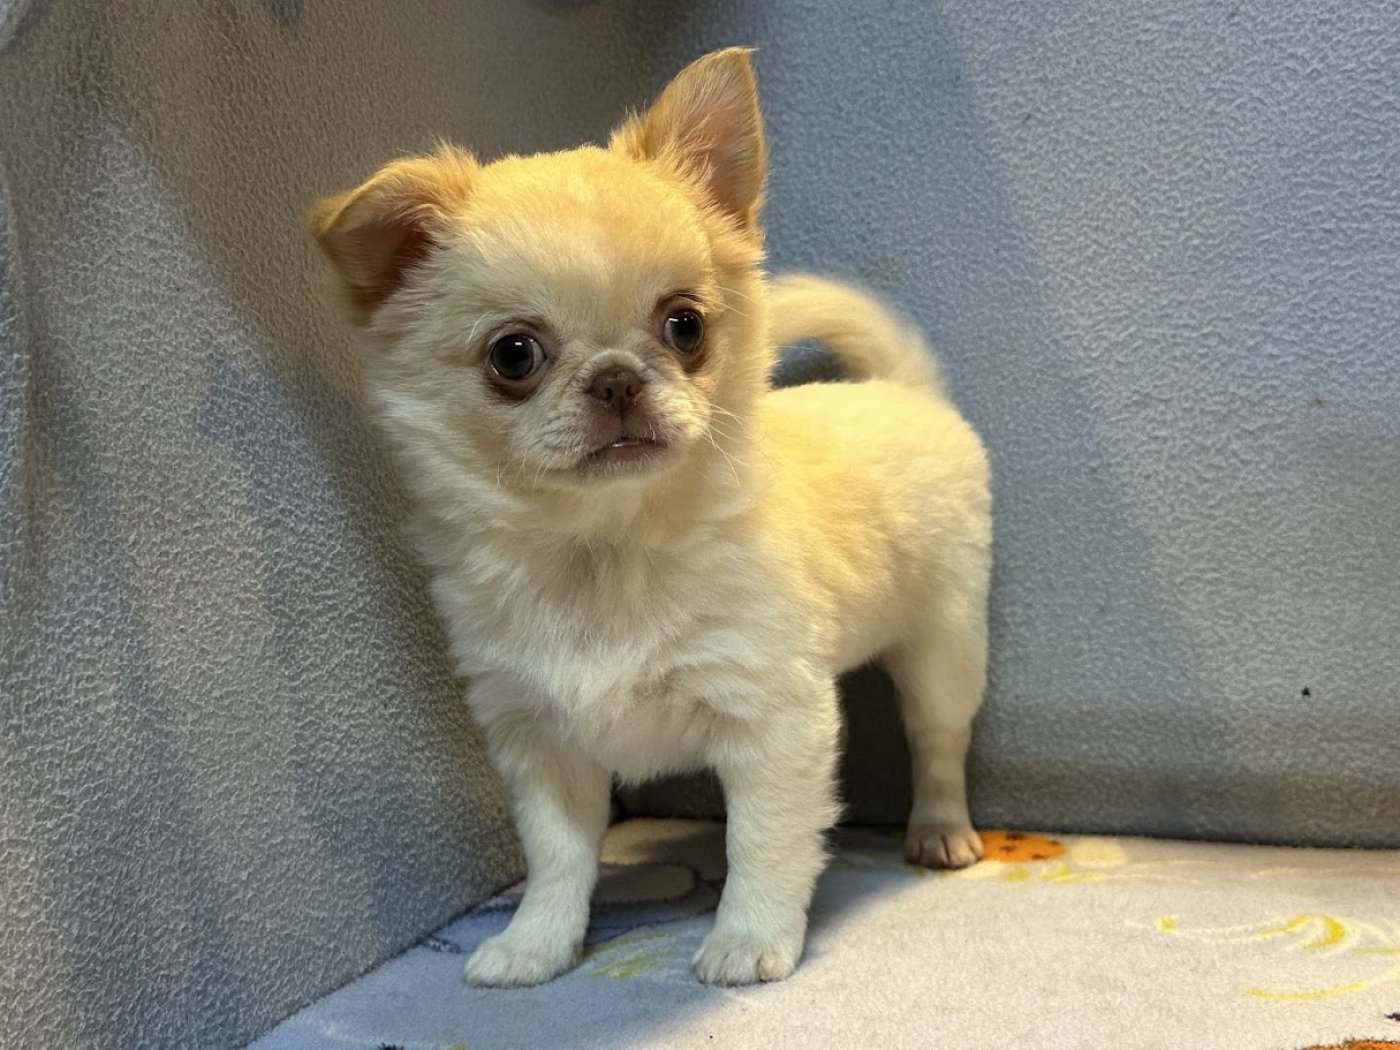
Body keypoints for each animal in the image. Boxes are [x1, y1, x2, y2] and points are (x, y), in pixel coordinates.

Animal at [309, 47, 991, 987]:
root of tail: (904, 391)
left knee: (938, 740)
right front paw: (535, 944)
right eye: (512, 356)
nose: (617, 377)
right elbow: (558, 857)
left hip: (944, 645)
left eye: (686, 326)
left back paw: (940, 830)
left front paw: (748, 938)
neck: (606, 548)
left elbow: (764, 844)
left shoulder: (772, 720)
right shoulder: (540, 743)